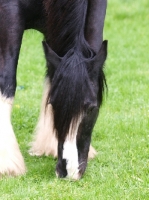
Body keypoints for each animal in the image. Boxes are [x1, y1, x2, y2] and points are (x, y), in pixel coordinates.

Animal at [0, 0, 107, 180]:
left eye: (92, 108)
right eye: (52, 104)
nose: (68, 171)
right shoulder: (8, 15)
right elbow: (6, 81)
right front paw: (7, 163)